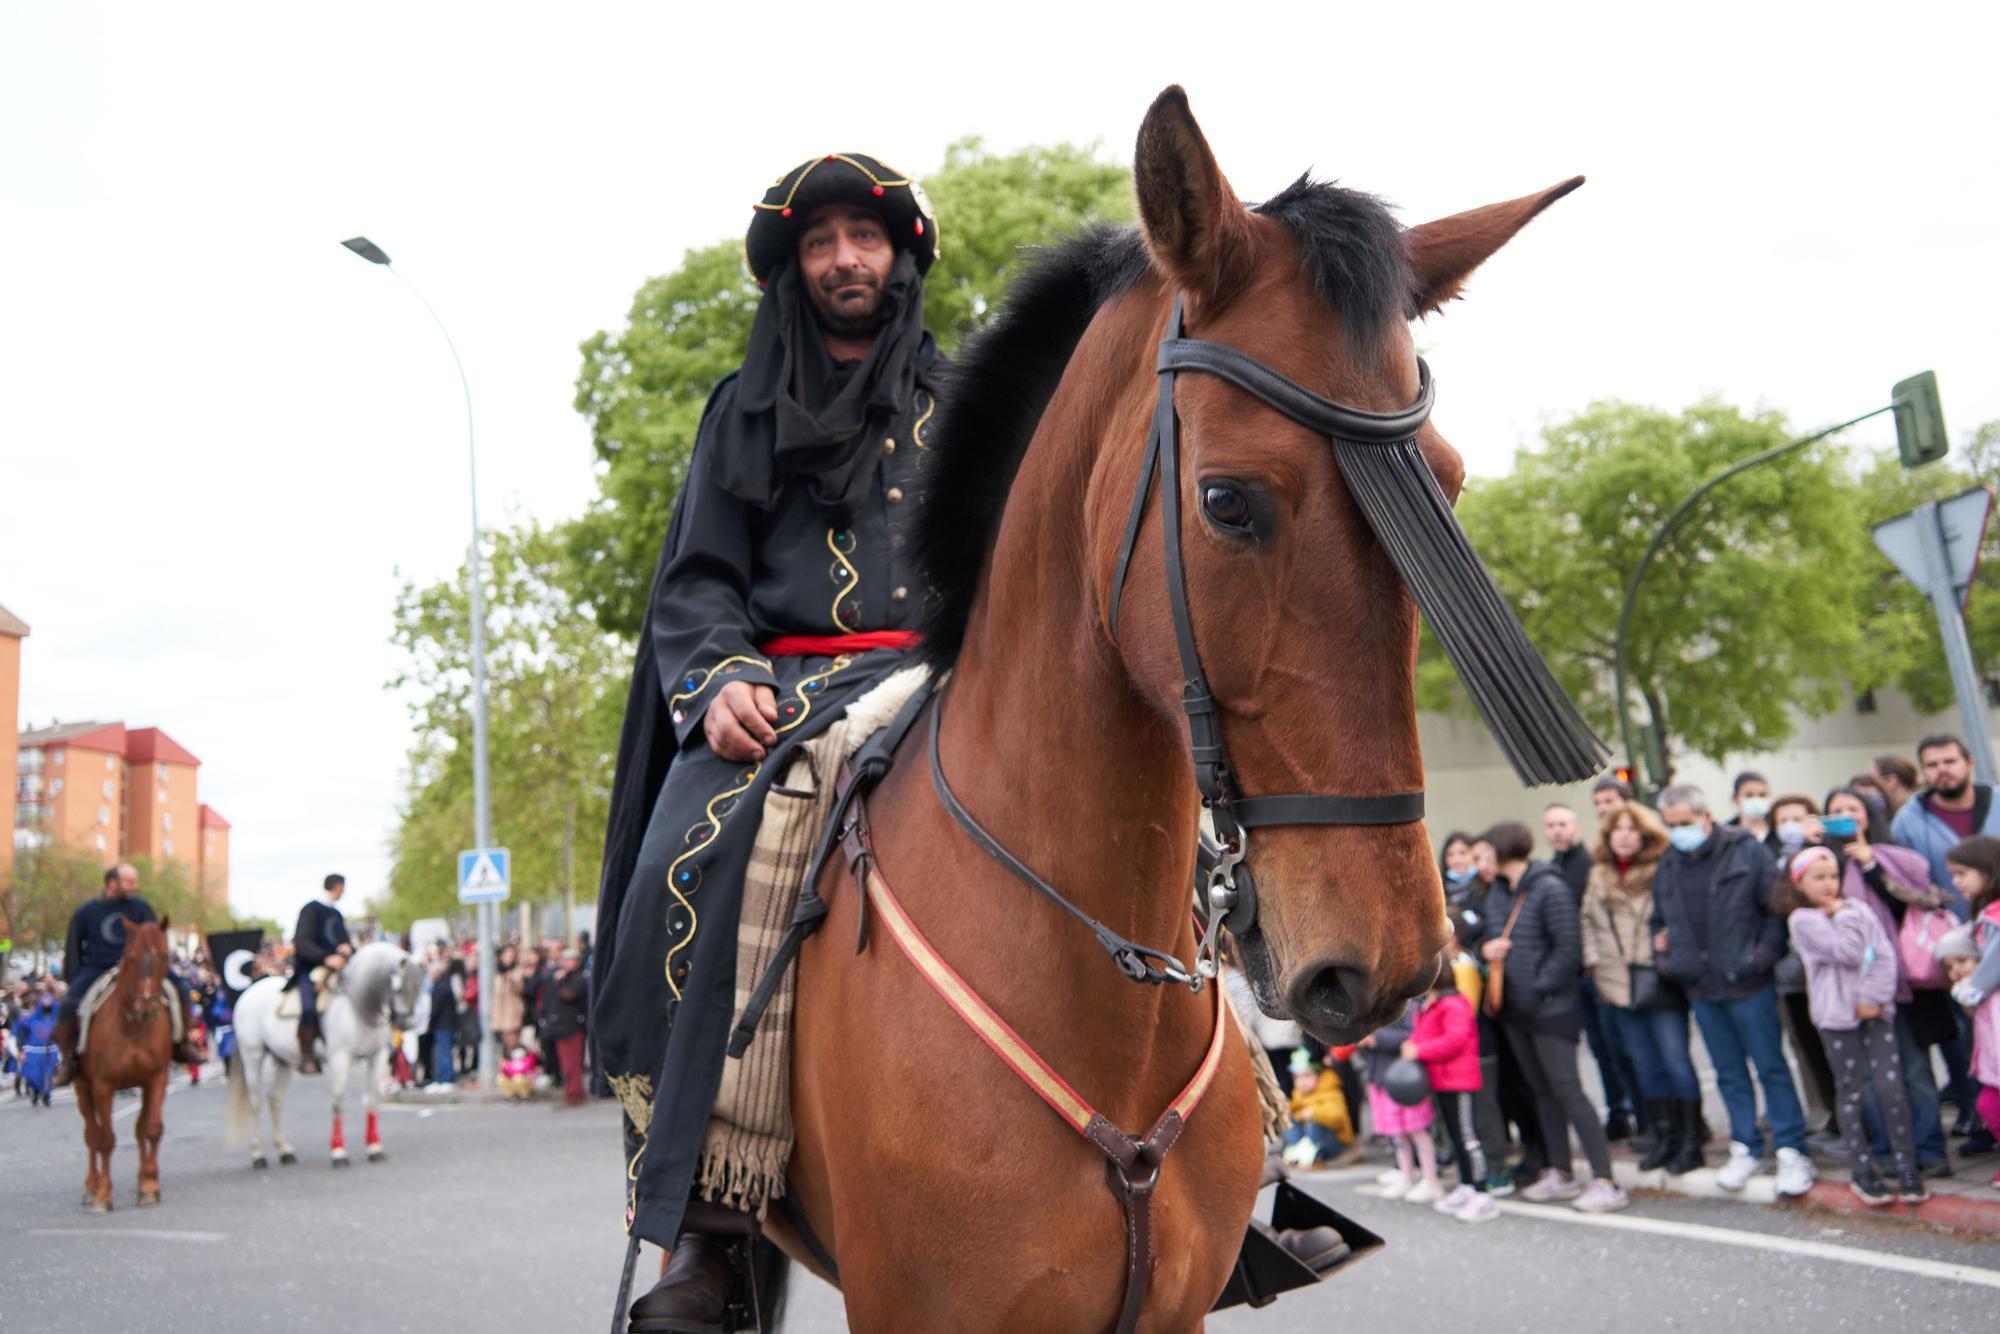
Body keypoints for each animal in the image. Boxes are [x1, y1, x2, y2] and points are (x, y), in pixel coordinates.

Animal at [76, 920, 176, 1208]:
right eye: (131, 958)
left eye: (164, 956)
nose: (146, 1008)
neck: (133, 1026)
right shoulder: (103, 1086)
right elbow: (106, 1139)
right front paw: (103, 1195)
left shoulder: (156, 1079)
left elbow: (150, 1129)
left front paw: (149, 1185)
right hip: (82, 1087)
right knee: (92, 1135)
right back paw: (92, 1186)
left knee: (138, 1129)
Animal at [227, 940, 426, 1168]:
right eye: (398, 988)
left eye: (418, 987)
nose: (407, 1024)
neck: (357, 1006)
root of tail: (247, 993)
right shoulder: (340, 1058)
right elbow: (338, 1102)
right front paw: (338, 1151)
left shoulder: (377, 1056)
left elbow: (373, 1099)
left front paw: (374, 1147)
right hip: (253, 1057)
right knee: (256, 1103)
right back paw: (258, 1154)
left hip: (284, 1060)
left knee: (275, 1099)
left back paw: (285, 1150)